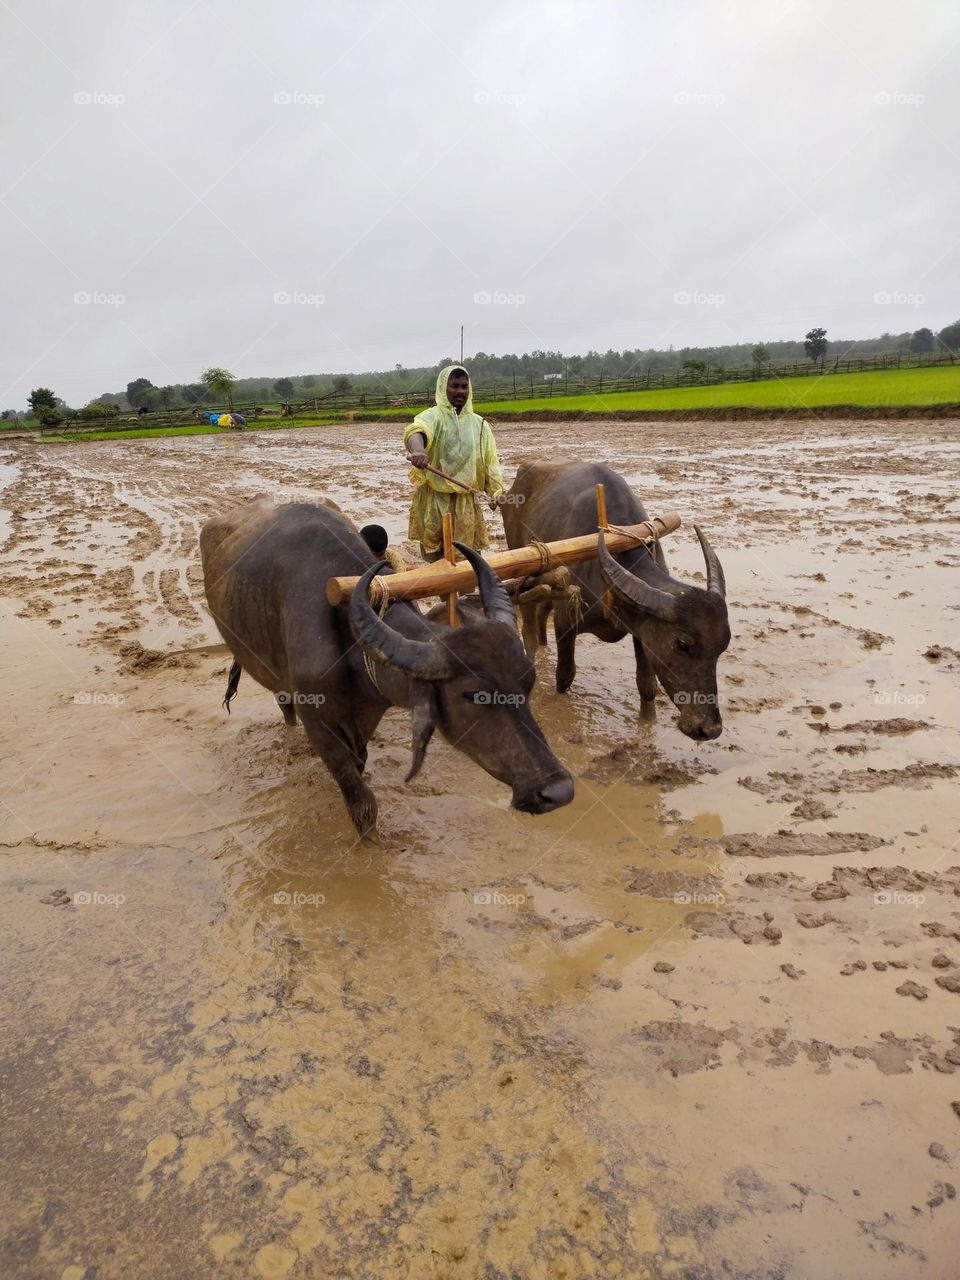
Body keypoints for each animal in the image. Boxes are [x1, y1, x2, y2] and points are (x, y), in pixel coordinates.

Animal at [202, 494, 576, 834]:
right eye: (475, 695)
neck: (350, 642)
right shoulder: (320, 723)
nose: (557, 790)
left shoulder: (366, 716)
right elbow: (362, 805)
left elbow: (361, 762)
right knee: (283, 702)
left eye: (527, 683)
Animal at [504, 463, 727, 742]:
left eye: (722, 646)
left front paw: (647, 723)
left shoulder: (643, 632)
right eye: (682, 644)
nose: (709, 729)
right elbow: (565, 675)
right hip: (523, 572)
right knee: (529, 631)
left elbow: (647, 685)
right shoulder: (566, 620)